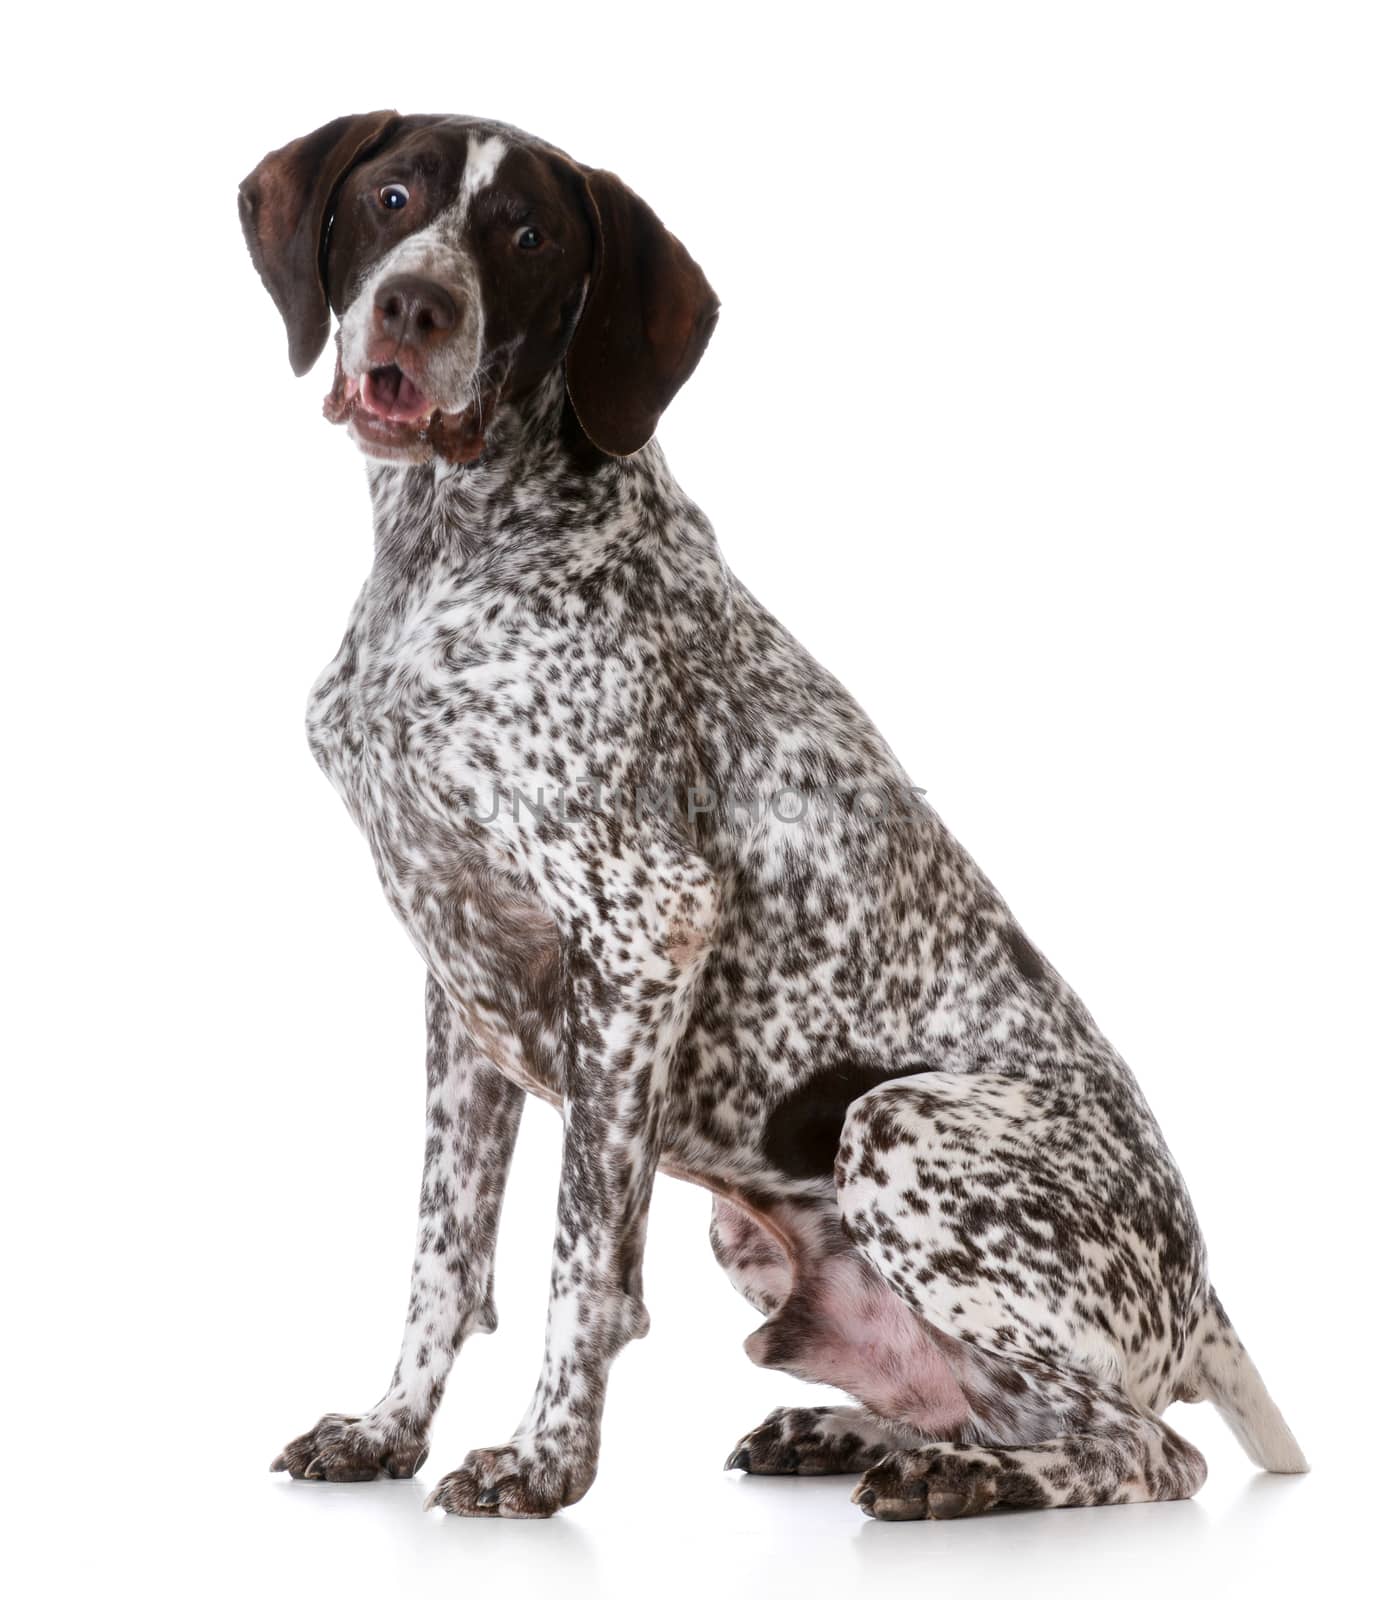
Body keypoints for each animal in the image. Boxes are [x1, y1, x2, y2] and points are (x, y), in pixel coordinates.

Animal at [233, 109, 1305, 1510]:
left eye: (527, 237)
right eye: (392, 198)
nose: (415, 305)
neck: (452, 551)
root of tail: (1206, 1296)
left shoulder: (642, 930)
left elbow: (581, 1262)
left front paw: (544, 1461)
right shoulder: (463, 981)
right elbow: (443, 1254)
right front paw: (387, 1428)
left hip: (894, 1121)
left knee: (1141, 1448)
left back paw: (958, 1482)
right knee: (1012, 1409)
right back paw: (856, 1436)